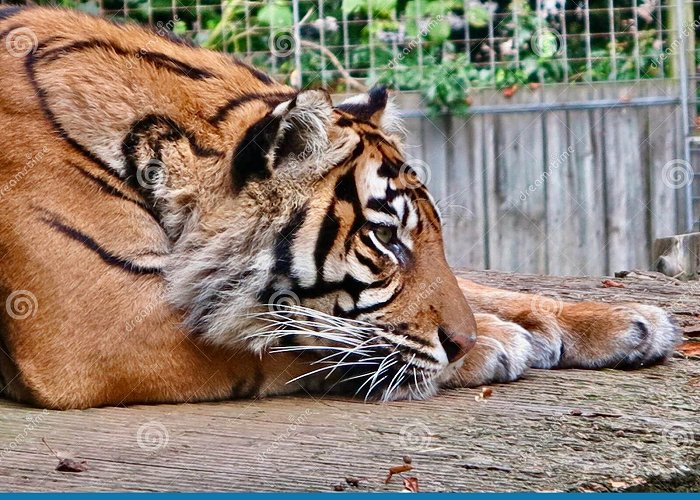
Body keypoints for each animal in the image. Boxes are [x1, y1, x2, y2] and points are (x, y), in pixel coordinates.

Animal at [0, 5, 680, 408]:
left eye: (425, 238)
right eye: (388, 241)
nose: (462, 344)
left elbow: (488, 287)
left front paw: (626, 321)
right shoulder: (99, 324)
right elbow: (297, 340)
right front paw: (500, 343)